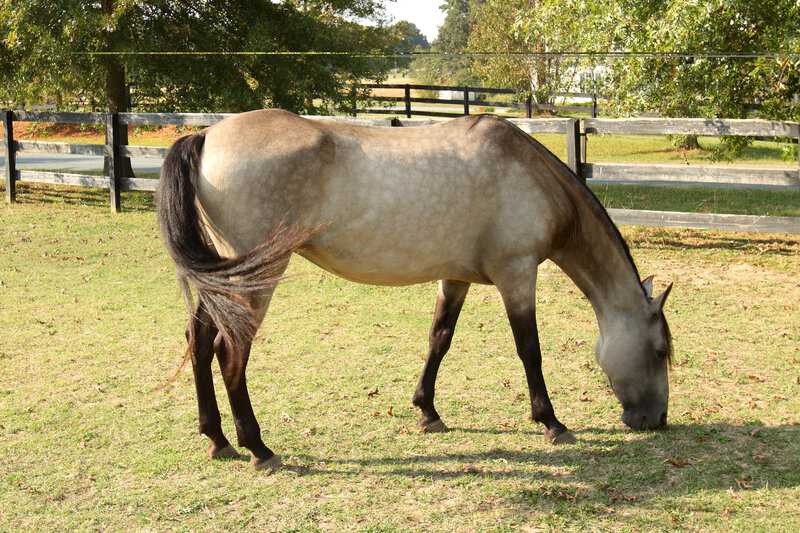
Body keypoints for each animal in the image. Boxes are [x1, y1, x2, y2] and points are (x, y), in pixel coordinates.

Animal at [156, 109, 673, 471]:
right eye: (660, 350)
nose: (657, 421)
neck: (527, 173)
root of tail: (206, 135)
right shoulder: (517, 275)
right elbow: (530, 350)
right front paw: (551, 422)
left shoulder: (456, 277)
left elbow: (438, 340)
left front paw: (427, 412)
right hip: (253, 277)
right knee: (231, 353)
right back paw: (258, 447)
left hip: (222, 277)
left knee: (199, 341)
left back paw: (217, 439)